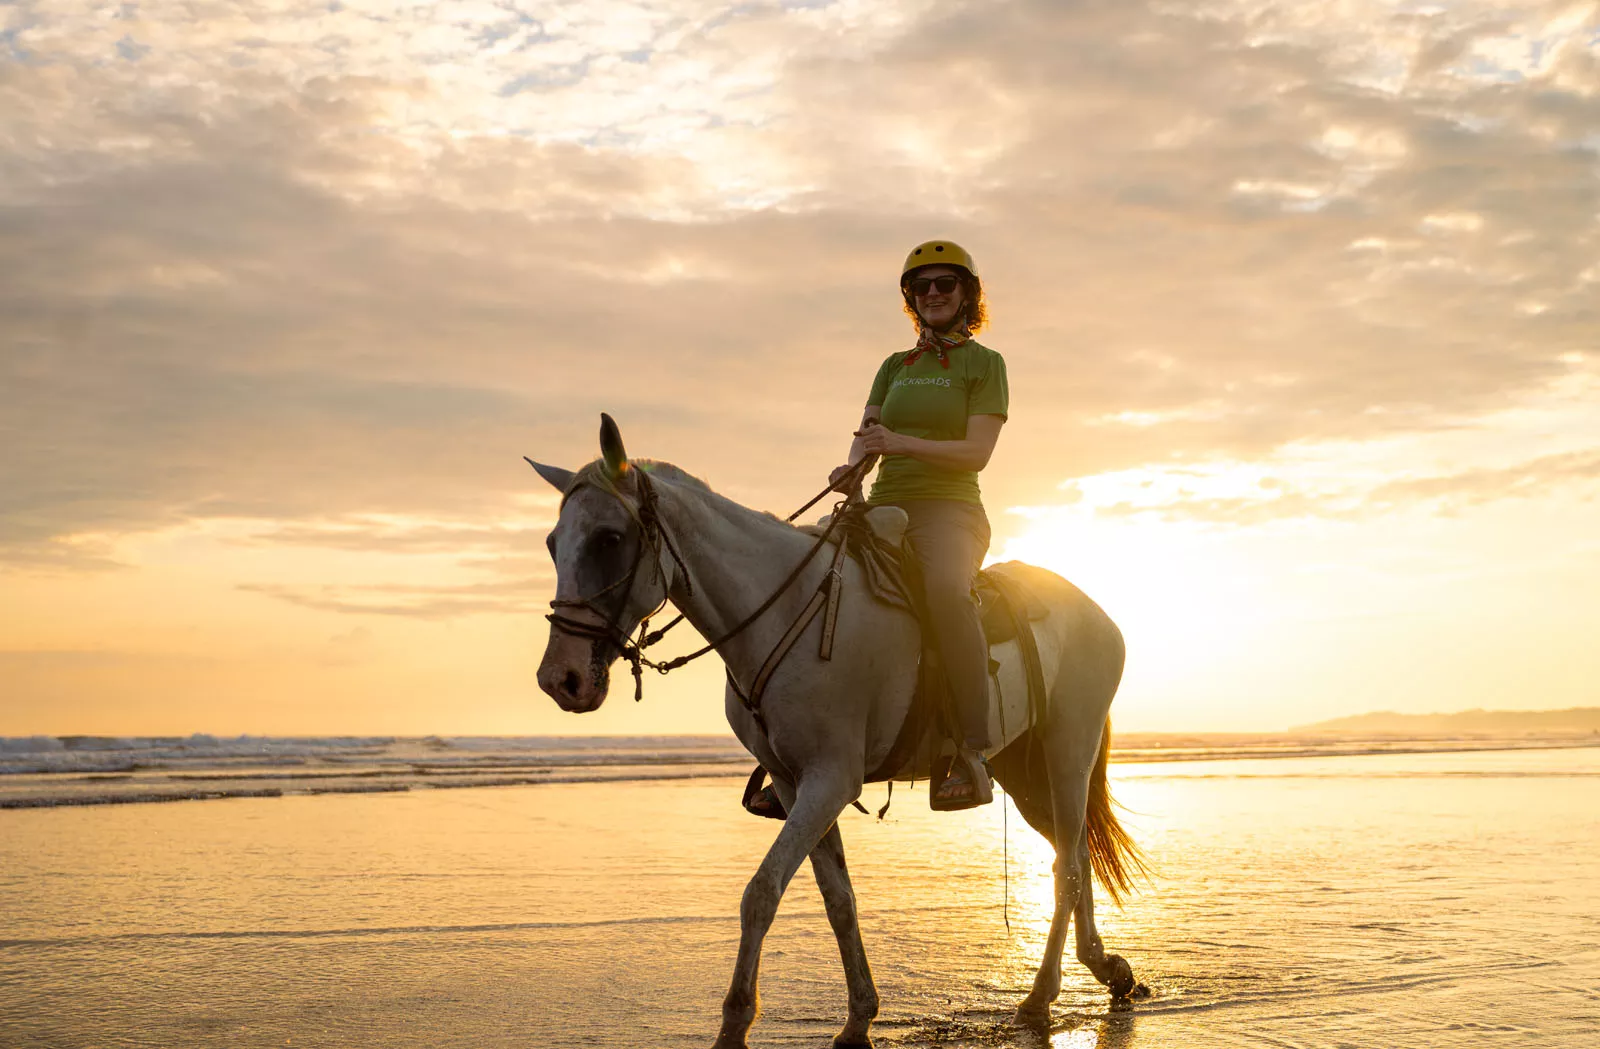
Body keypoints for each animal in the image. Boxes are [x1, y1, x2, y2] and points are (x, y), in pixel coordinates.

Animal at [530, 415, 1147, 1049]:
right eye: (553, 544)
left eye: (609, 538)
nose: (560, 679)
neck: (784, 610)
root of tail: (1096, 613)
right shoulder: (794, 782)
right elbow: (838, 901)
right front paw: (858, 1018)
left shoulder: (830, 780)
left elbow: (762, 892)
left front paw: (735, 1024)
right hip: (1023, 770)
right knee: (1074, 854)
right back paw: (1107, 968)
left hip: (1067, 751)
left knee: (1068, 868)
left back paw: (1040, 996)